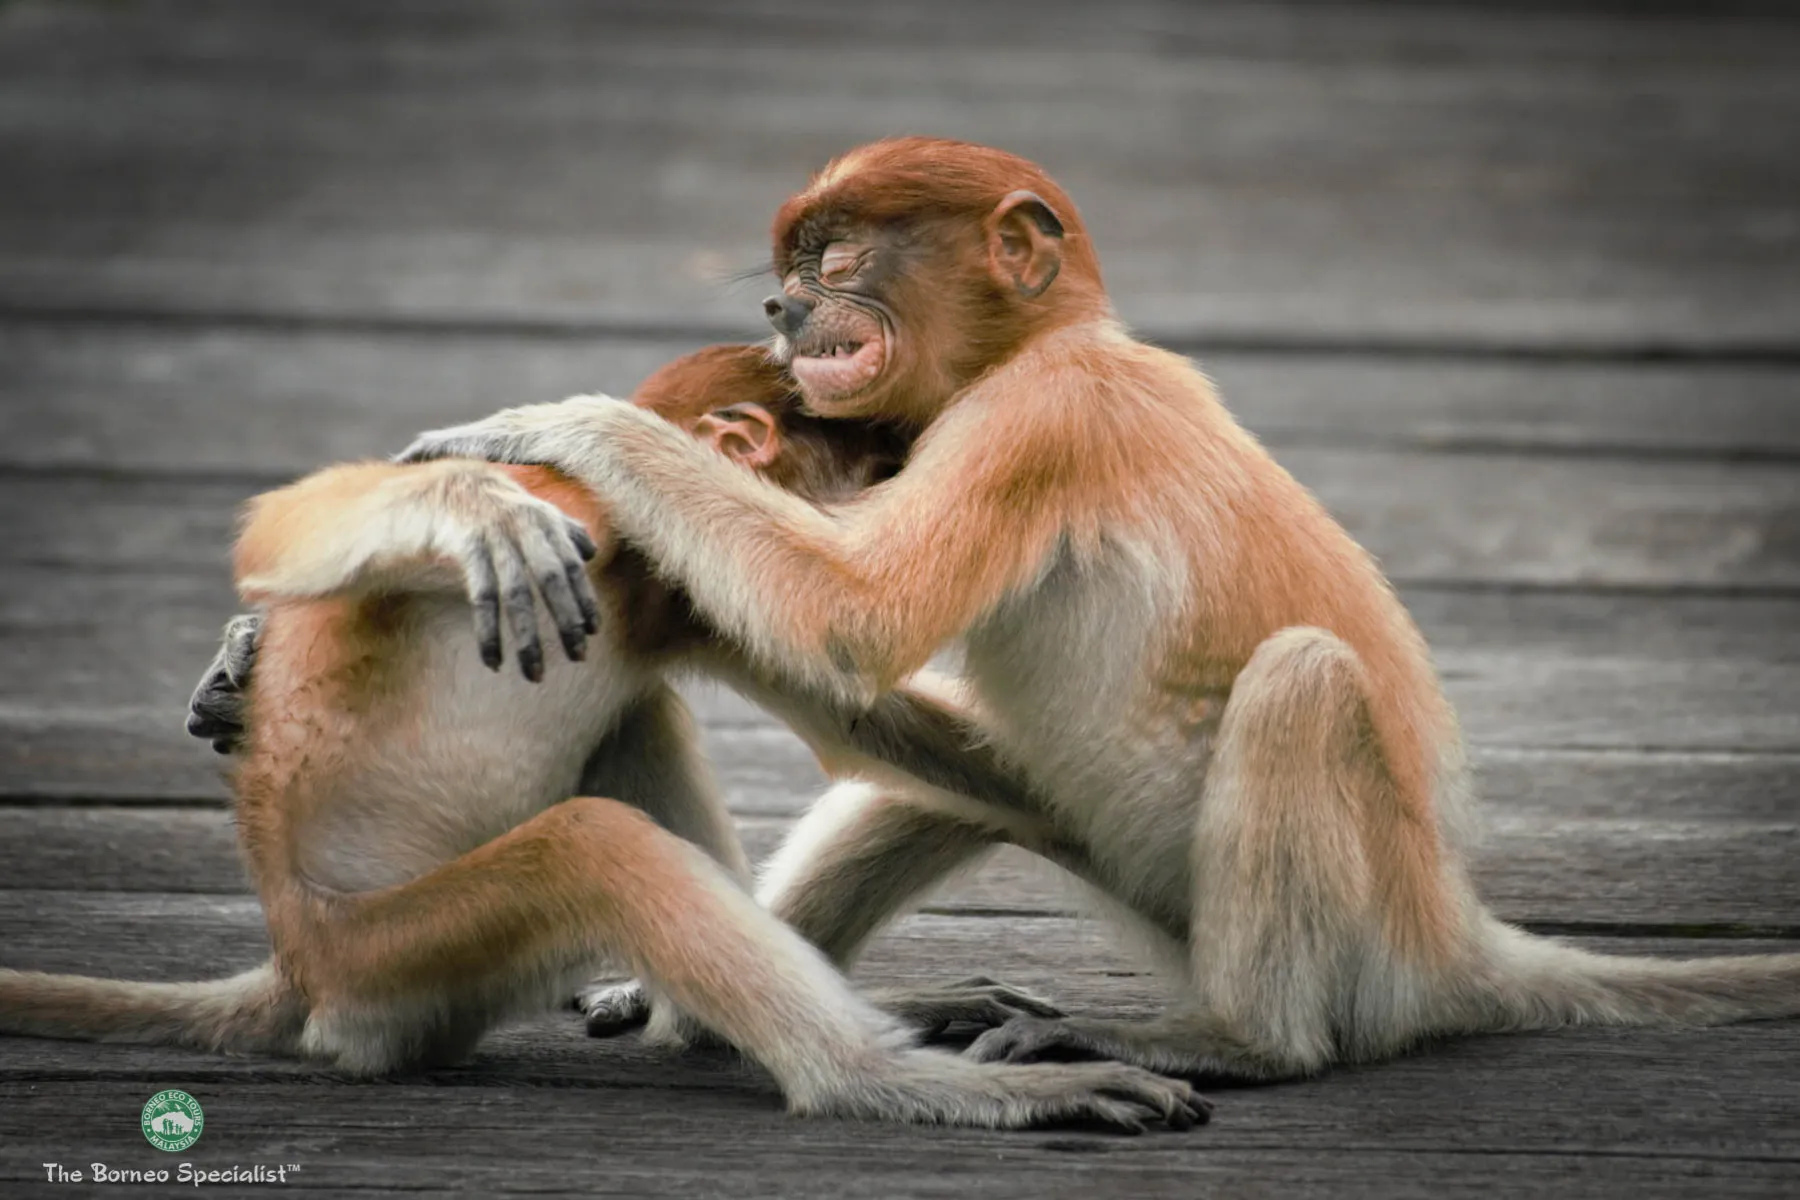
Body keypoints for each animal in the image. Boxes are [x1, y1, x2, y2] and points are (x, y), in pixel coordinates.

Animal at [0, 343, 1208, 1132]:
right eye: (887, 467)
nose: (898, 498)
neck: (626, 566)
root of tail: (301, 966)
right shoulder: (580, 522)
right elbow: (293, 528)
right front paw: (476, 510)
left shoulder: (681, 588)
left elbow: (866, 713)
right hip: (395, 958)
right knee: (592, 846)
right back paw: (901, 1079)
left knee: (641, 715)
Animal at [393, 137, 1800, 1082]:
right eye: (789, 263)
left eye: (834, 254)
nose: (782, 306)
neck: (1042, 341)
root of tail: (1456, 938)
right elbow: (863, 687)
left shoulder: (1040, 417)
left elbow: (859, 618)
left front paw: (547, 430)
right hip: (1127, 863)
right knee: (933, 783)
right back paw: (703, 1006)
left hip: (1365, 932)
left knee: (1301, 679)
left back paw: (1240, 1042)